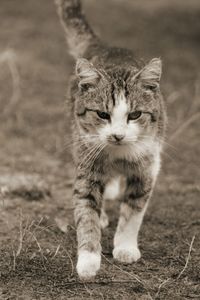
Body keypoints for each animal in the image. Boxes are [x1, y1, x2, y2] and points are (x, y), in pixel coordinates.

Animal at [54, 0, 166, 282]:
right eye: (103, 115)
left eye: (135, 115)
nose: (117, 135)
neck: (118, 154)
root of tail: (104, 47)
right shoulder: (87, 165)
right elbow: (86, 212)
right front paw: (88, 260)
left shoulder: (148, 166)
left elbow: (133, 211)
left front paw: (125, 248)